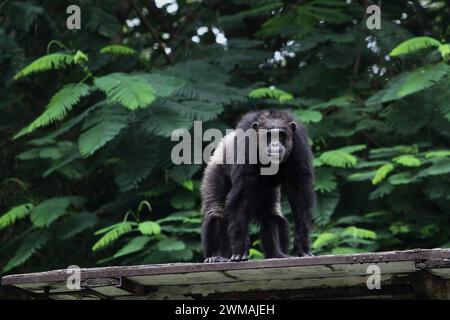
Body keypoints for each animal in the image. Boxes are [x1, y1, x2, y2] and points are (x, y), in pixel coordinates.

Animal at [202, 110, 314, 262]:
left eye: (281, 135)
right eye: (269, 135)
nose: (275, 145)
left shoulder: (299, 143)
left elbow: (299, 195)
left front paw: (303, 247)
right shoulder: (246, 143)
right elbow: (241, 198)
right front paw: (240, 250)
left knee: (271, 214)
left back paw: (276, 253)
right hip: (214, 172)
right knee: (217, 210)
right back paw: (216, 256)